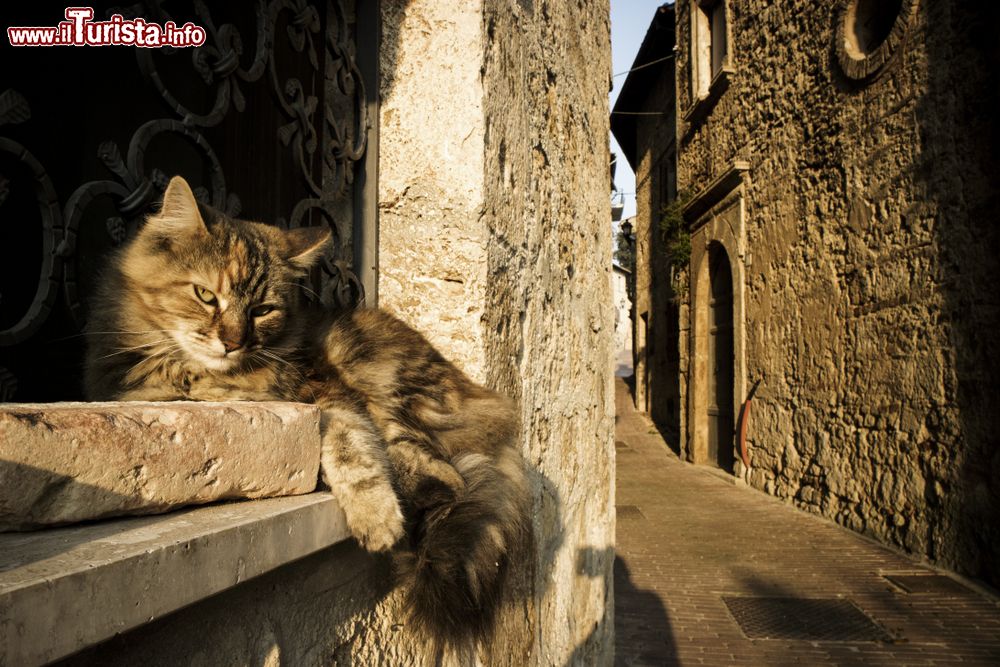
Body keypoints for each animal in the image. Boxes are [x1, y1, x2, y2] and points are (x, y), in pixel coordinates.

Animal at [84, 175, 532, 644]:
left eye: (262, 310)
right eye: (205, 295)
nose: (232, 342)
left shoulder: (328, 396)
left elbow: (354, 451)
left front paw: (378, 520)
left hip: (377, 377)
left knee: (442, 472)